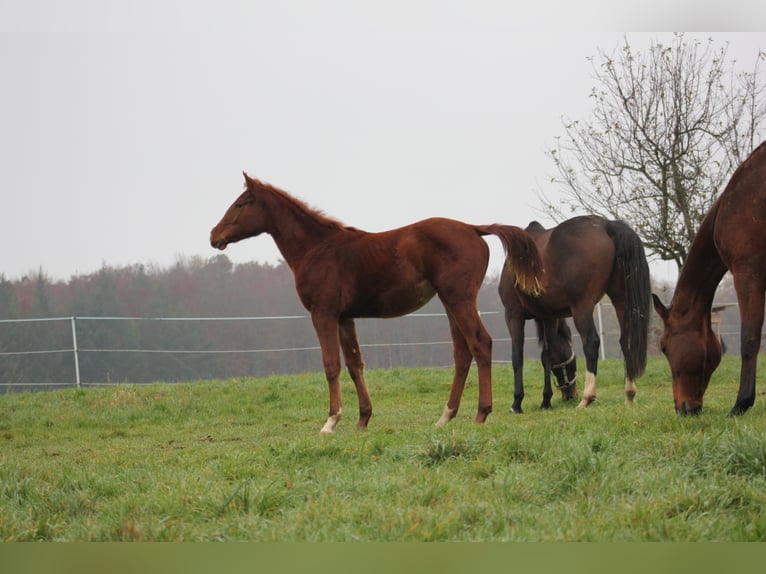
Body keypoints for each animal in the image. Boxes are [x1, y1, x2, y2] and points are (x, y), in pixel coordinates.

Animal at [210, 173, 544, 434]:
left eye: (241, 203)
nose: (214, 236)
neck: (317, 248)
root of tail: (474, 228)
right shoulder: (345, 317)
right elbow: (355, 364)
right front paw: (363, 419)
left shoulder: (323, 313)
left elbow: (331, 364)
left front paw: (330, 421)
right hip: (451, 303)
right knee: (462, 354)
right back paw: (445, 416)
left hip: (459, 299)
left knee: (480, 344)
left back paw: (481, 414)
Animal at [498, 217, 656, 414]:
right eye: (571, 362)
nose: (570, 394)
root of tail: (606, 225)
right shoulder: (548, 317)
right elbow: (547, 357)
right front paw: (546, 401)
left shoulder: (513, 314)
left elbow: (517, 357)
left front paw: (517, 403)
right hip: (622, 300)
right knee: (626, 341)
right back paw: (629, 394)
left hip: (582, 307)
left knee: (591, 342)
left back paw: (587, 398)